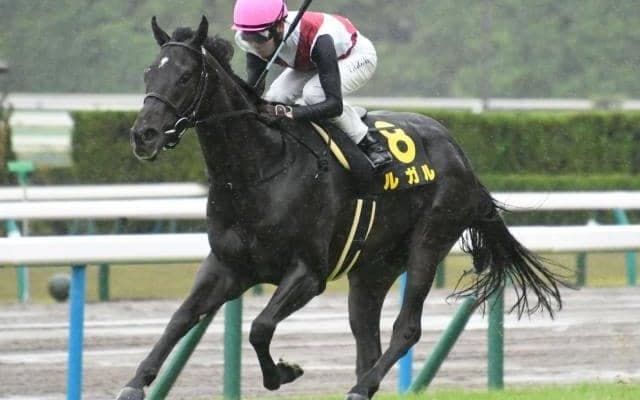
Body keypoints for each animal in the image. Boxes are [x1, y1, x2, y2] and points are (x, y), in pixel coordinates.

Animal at [119, 16, 566, 400]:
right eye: (147, 73)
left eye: (185, 76)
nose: (144, 134)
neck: (258, 170)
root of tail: (458, 152)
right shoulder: (227, 266)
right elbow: (180, 319)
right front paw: (135, 383)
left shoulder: (308, 272)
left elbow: (260, 327)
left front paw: (283, 373)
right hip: (373, 268)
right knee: (367, 337)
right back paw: (364, 383)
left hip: (429, 241)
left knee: (407, 328)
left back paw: (361, 387)